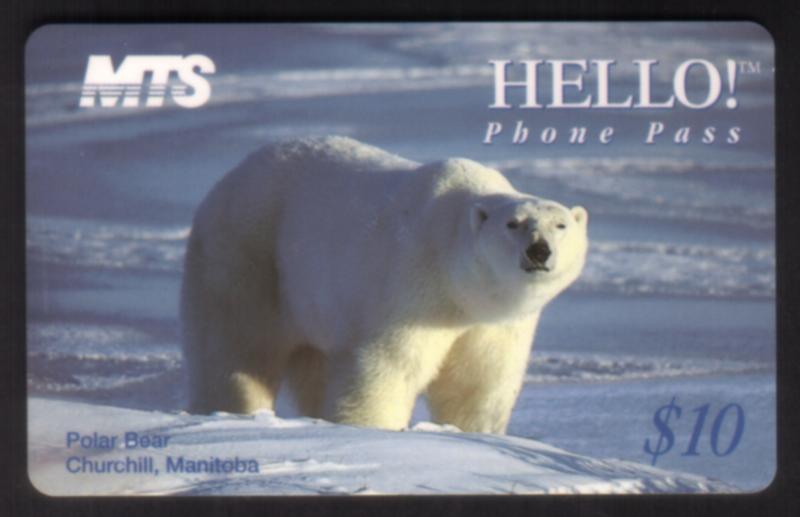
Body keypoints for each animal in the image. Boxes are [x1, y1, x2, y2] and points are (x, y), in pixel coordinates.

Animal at [180, 136, 588, 434]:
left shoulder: (496, 323)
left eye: (560, 225)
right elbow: (389, 366)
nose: (539, 250)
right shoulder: (414, 286)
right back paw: (234, 412)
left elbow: (478, 382)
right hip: (248, 253)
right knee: (236, 349)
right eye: (513, 224)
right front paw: (373, 429)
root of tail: (231, 175)